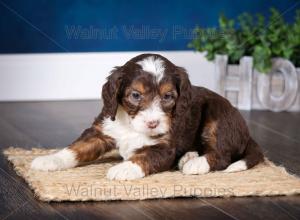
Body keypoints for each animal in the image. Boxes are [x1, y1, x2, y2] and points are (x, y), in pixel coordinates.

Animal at [31, 53, 264, 180]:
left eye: (168, 96)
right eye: (135, 95)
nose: (153, 123)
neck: (131, 124)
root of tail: (247, 132)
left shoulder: (164, 147)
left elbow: (144, 156)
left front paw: (123, 169)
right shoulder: (102, 130)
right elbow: (76, 148)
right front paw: (49, 160)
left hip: (217, 116)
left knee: (223, 154)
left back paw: (195, 164)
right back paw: (188, 156)